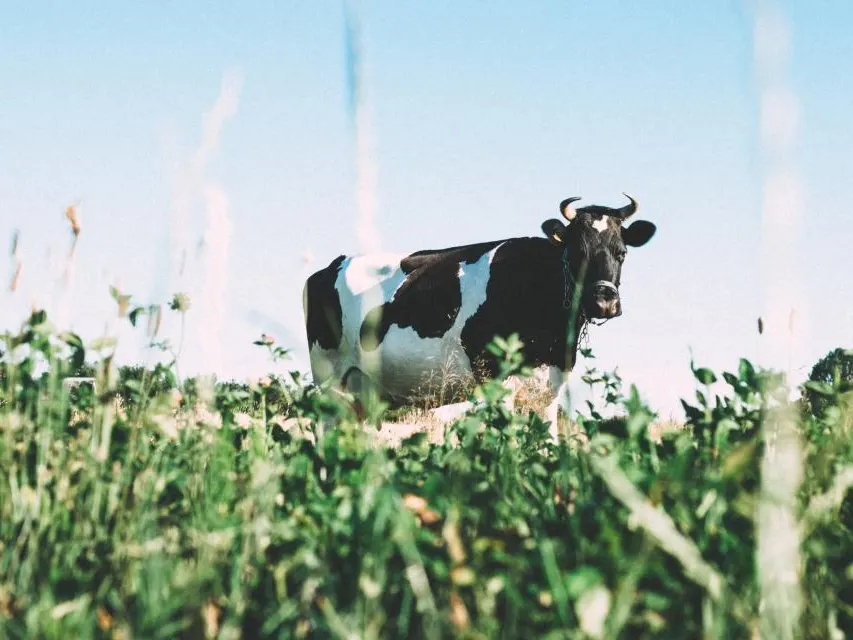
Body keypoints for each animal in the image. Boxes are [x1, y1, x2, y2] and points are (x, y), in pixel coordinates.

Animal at [302, 194, 656, 441]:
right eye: (578, 252)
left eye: (622, 252)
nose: (604, 301)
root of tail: (329, 266)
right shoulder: (496, 377)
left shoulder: (550, 387)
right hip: (329, 378)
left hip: (360, 392)